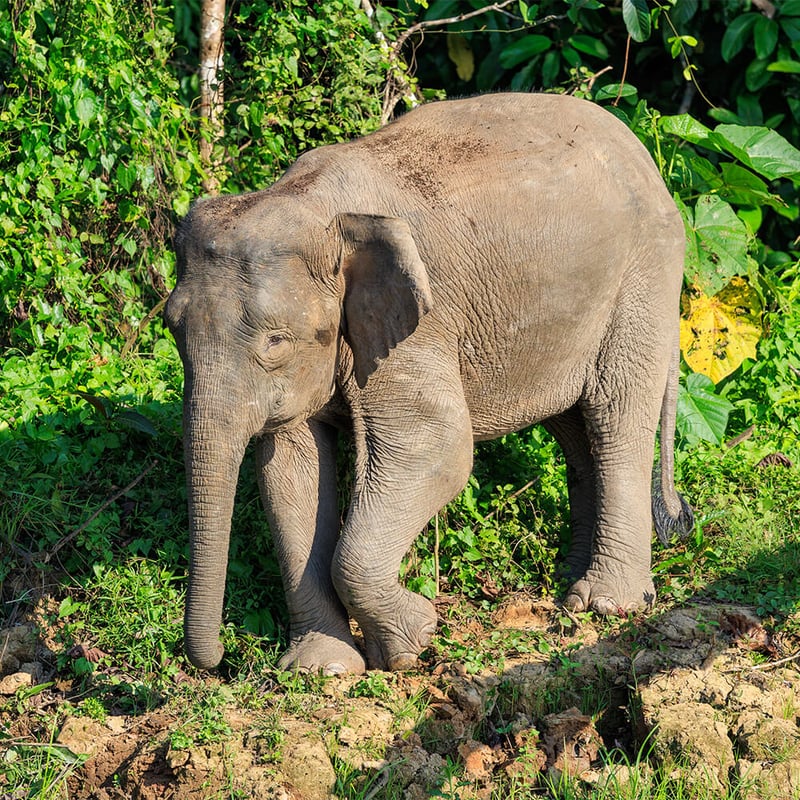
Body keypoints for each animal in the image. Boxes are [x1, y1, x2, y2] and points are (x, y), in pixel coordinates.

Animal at [165, 92, 693, 676]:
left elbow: (436, 448)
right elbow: (290, 472)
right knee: (574, 430)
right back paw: (564, 584)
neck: (311, 205)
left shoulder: (422, 322)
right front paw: (322, 669)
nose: (217, 661)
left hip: (643, 276)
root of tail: (649, 160)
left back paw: (603, 603)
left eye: (276, 341)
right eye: (171, 328)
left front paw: (412, 641)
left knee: (613, 415)